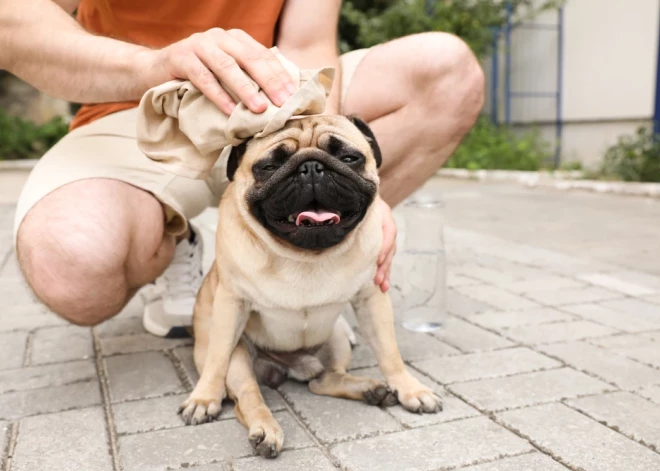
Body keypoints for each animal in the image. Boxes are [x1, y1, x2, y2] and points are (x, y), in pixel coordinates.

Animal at [178, 116, 440, 460]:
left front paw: (410, 389)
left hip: (336, 339)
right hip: (240, 358)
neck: (305, 257)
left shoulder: (372, 299)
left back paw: (369, 389)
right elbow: (217, 360)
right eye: (269, 166)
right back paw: (265, 430)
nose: (312, 167)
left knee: (323, 381)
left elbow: (390, 352)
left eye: (350, 158)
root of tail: (287, 367)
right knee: (247, 396)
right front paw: (204, 397)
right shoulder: (231, 304)